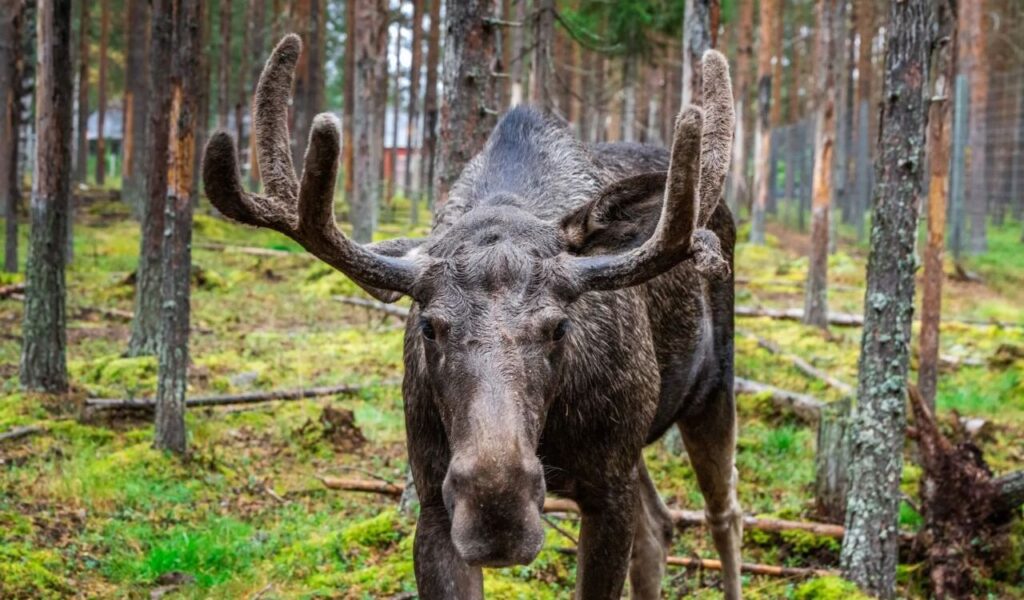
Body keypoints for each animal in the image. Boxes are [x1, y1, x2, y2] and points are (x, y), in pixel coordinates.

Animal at [203, 34, 740, 600]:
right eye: (429, 326)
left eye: (559, 326)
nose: (496, 511)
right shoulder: (434, 502)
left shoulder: (608, 490)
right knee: (659, 528)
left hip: (711, 391)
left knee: (724, 514)